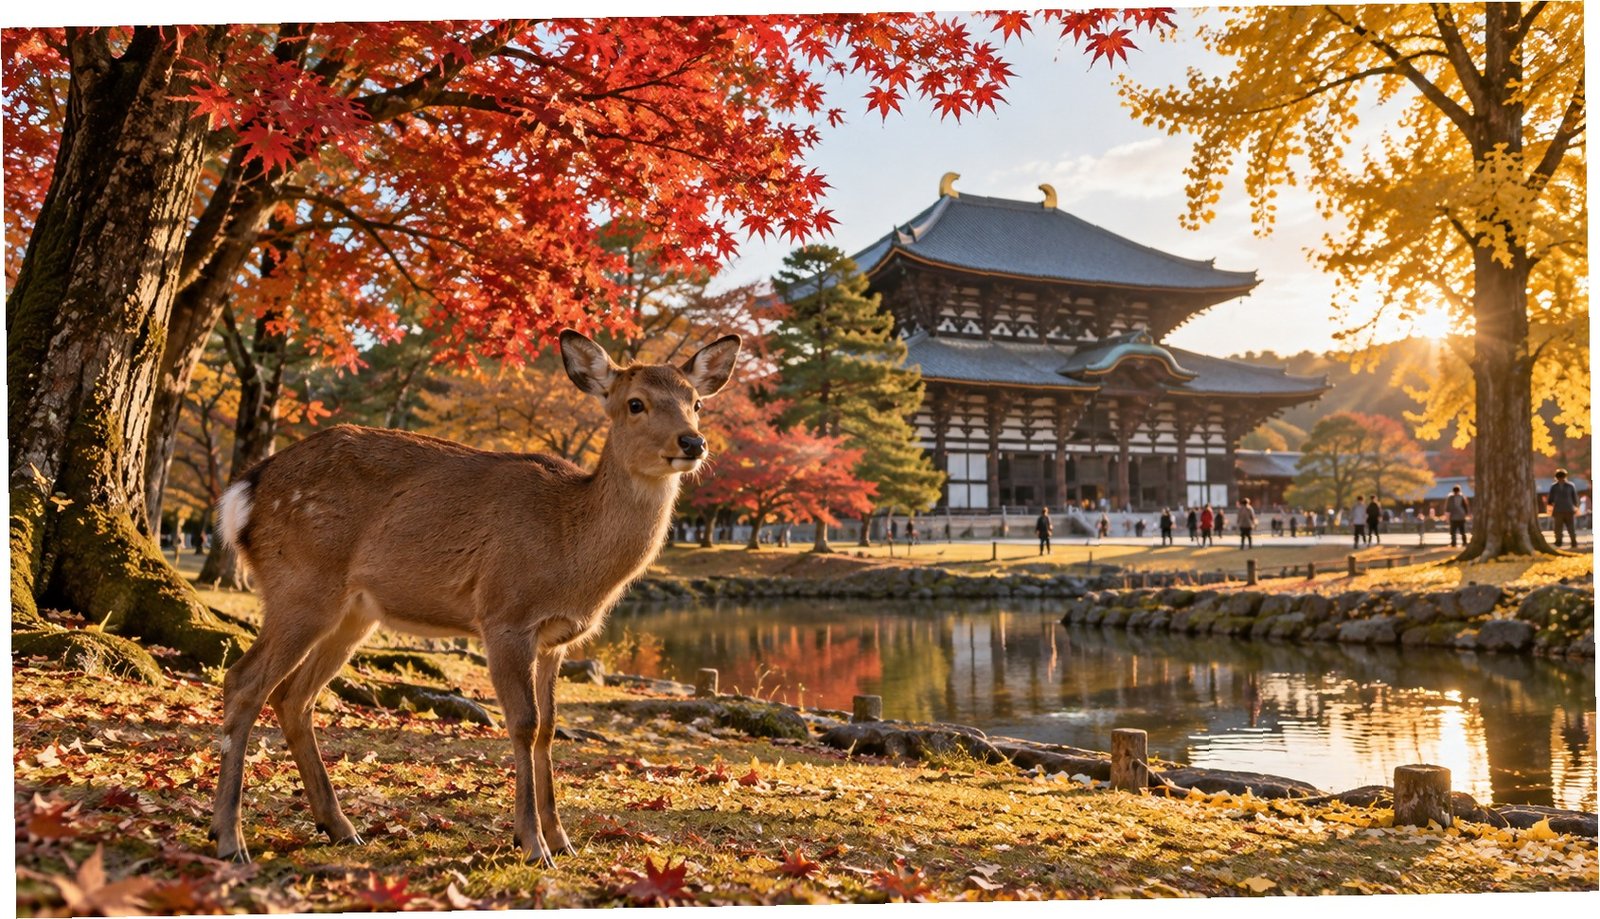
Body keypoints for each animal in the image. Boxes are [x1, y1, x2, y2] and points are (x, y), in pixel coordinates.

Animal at [208, 330, 741, 866]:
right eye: (636, 403)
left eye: (696, 403)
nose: (693, 442)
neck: (571, 550)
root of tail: (241, 495)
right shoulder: (505, 614)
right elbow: (524, 723)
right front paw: (532, 843)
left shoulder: (556, 639)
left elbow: (551, 727)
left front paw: (562, 839)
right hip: (300, 585)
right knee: (243, 681)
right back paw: (230, 838)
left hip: (353, 612)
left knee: (294, 696)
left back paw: (339, 827)